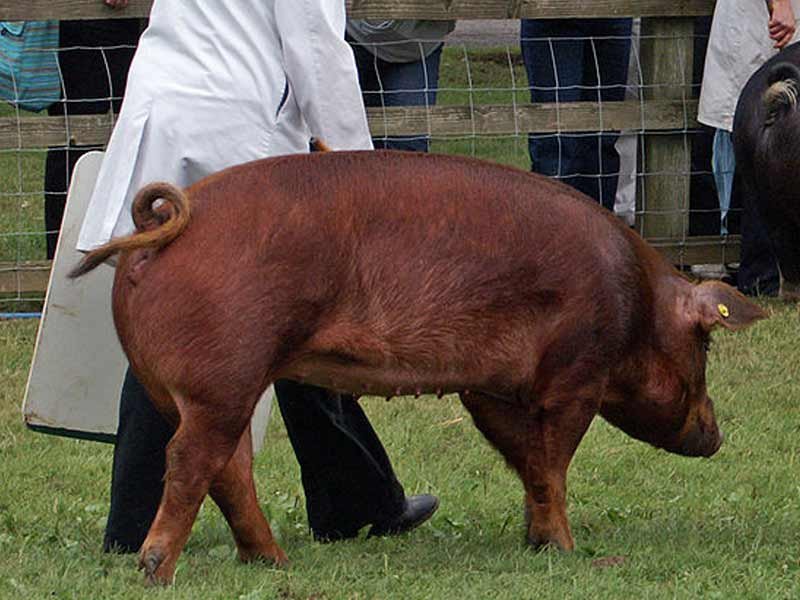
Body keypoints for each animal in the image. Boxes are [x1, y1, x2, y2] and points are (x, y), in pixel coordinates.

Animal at [72, 151, 764, 584]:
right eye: (705, 346)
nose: (717, 437)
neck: (636, 302)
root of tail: (162, 228)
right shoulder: (576, 375)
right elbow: (555, 462)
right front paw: (567, 550)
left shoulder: (489, 390)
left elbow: (530, 466)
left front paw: (537, 543)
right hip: (223, 376)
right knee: (192, 462)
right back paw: (157, 571)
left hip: (188, 385)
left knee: (228, 468)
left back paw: (273, 563)